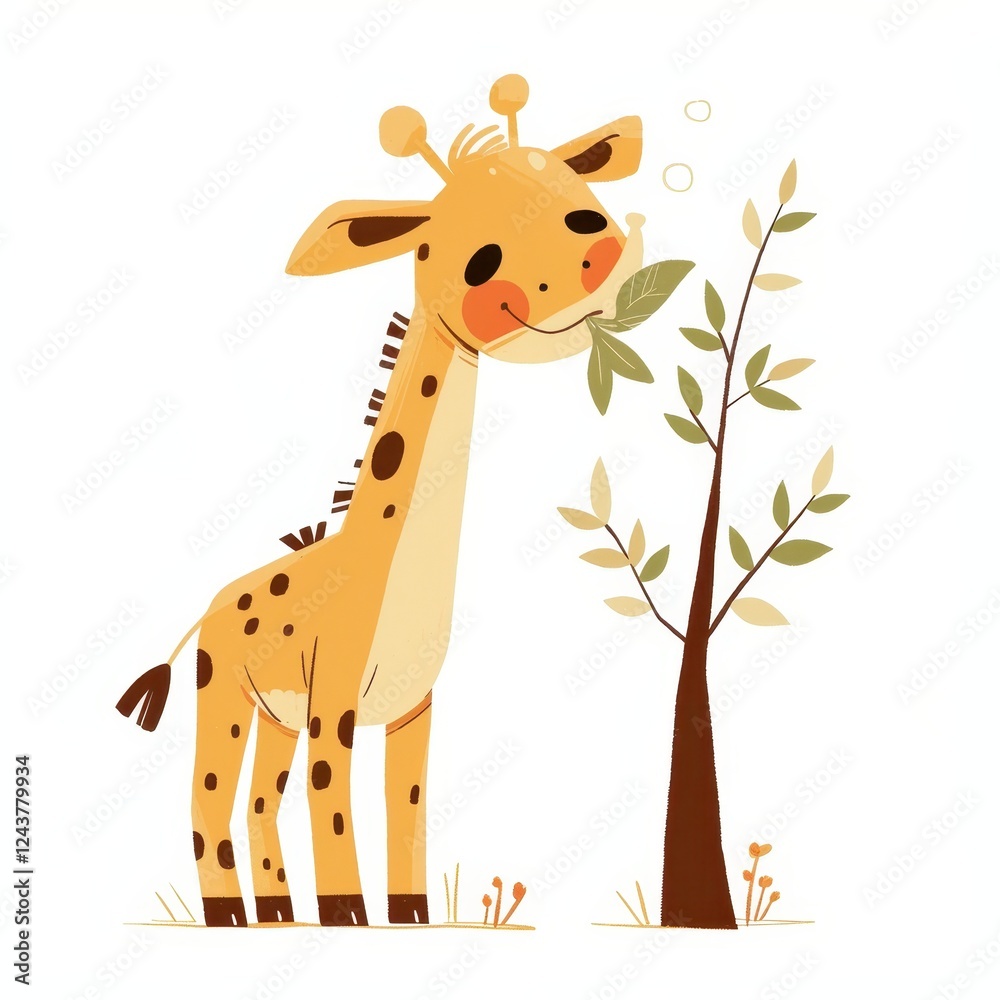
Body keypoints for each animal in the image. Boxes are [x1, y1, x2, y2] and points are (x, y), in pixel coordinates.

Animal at [117, 74, 646, 927]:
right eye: (482, 258)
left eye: (583, 202)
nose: (599, 252)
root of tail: (210, 608)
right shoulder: (333, 702)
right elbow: (332, 806)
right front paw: (346, 917)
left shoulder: (413, 707)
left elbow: (409, 812)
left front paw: (408, 916)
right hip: (224, 695)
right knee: (210, 800)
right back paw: (231, 918)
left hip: (274, 716)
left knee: (259, 803)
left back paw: (274, 914)